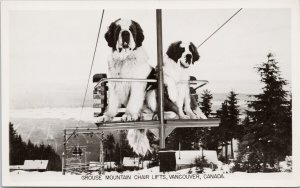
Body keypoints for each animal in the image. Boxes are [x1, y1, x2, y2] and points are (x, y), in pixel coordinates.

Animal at [99, 18, 152, 156]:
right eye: (118, 29)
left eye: (131, 29)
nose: (125, 33)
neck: (124, 59)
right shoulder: (113, 85)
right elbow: (112, 104)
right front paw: (107, 116)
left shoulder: (137, 84)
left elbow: (133, 101)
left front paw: (128, 115)